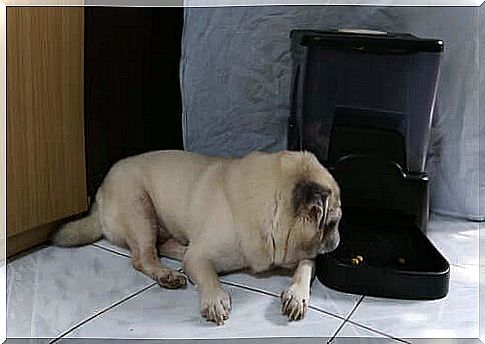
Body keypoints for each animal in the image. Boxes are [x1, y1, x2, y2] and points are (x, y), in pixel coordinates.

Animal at [53, 150, 340, 326]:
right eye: (332, 223)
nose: (337, 241)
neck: (272, 203)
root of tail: (98, 202)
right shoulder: (200, 257)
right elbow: (208, 275)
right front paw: (214, 299)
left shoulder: (302, 251)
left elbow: (305, 265)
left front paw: (296, 295)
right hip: (139, 209)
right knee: (144, 257)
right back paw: (167, 274)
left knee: (163, 247)